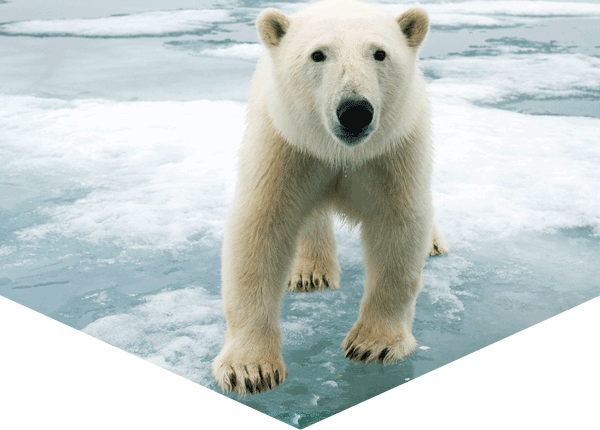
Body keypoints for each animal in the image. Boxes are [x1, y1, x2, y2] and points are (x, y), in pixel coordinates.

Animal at [212, 0, 450, 396]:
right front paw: (250, 368)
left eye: (380, 53)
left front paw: (373, 344)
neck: (341, 152)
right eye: (318, 54)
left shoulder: (391, 152)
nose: (354, 111)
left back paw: (433, 243)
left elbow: (398, 228)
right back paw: (311, 271)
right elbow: (260, 229)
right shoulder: (287, 147)